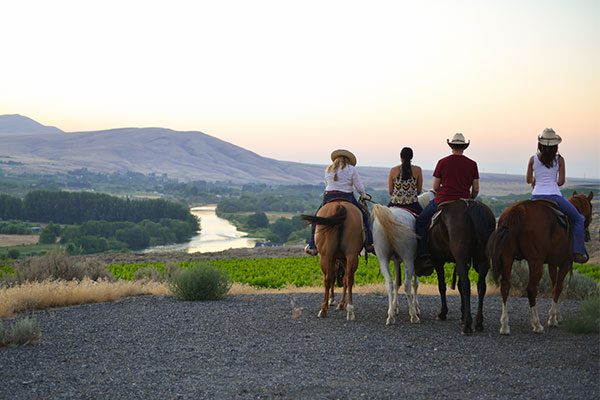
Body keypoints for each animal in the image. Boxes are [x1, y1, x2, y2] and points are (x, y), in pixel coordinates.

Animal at [372, 191, 434, 324]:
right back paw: (413, 316)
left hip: (383, 259)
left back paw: (390, 317)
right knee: (407, 285)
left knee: (389, 283)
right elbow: (415, 283)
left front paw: (394, 308)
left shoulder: (396, 261)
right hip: (408, 260)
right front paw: (416, 308)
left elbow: (396, 283)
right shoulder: (415, 262)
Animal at [428, 199, 494, 334]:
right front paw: (462, 314)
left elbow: (442, 286)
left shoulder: (438, 260)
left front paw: (443, 313)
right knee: (481, 286)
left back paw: (468, 325)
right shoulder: (463, 262)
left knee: (466, 285)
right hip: (482, 260)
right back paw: (478, 322)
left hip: (460, 256)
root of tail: (470, 205)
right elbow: (458, 286)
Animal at [490, 192, 592, 336]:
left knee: (505, 286)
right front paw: (552, 319)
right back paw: (537, 325)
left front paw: (557, 316)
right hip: (535, 262)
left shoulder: (552, 264)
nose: (587, 236)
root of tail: (519, 210)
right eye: (590, 210)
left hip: (507, 257)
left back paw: (505, 326)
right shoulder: (565, 263)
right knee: (531, 289)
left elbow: (554, 286)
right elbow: (558, 287)